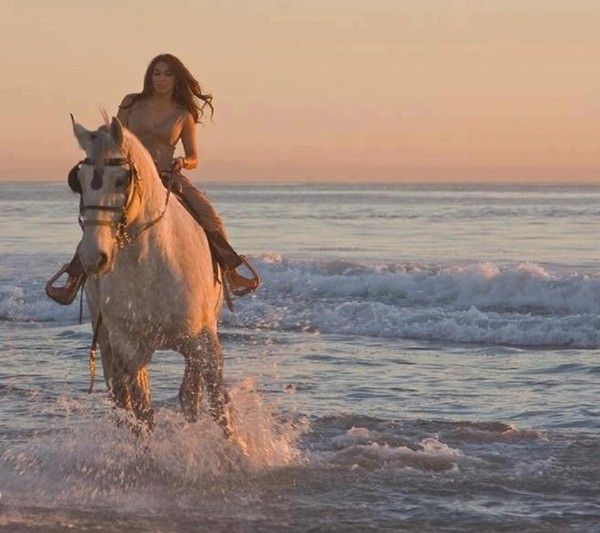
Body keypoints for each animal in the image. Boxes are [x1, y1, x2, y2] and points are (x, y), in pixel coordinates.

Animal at [71, 114, 236, 438]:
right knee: (120, 398)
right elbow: (143, 414)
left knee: (190, 394)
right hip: (108, 342)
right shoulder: (129, 348)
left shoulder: (204, 342)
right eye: (79, 182)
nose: (93, 257)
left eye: (121, 179)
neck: (149, 265)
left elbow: (218, 407)